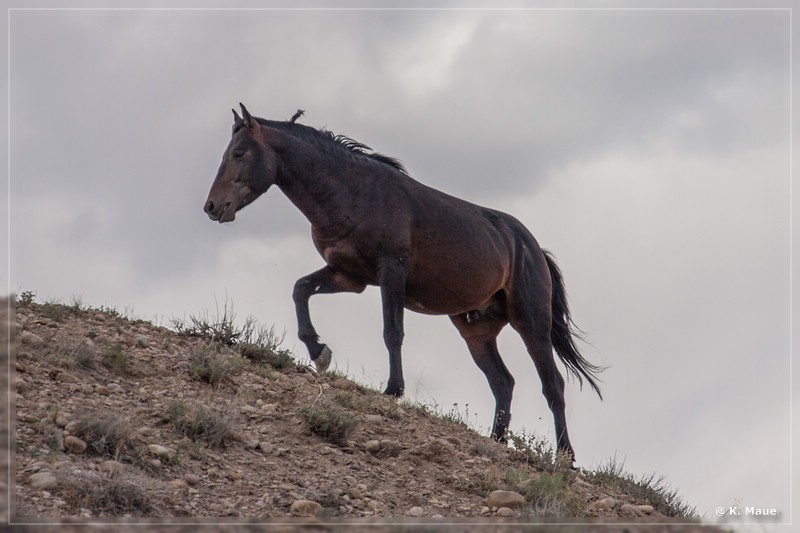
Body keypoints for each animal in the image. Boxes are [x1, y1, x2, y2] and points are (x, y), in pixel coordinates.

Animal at [203, 103, 604, 458]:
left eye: (239, 153)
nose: (212, 207)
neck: (351, 191)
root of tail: (533, 248)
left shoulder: (390, 271)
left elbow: (392, 331)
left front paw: (392, 390)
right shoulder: (349, 275)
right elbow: (300, 289)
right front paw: (319, 351)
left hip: (530, 323)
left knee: (552, 385)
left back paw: (565, 456)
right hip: (477, 330)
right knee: (503, 383)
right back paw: (497, 441)